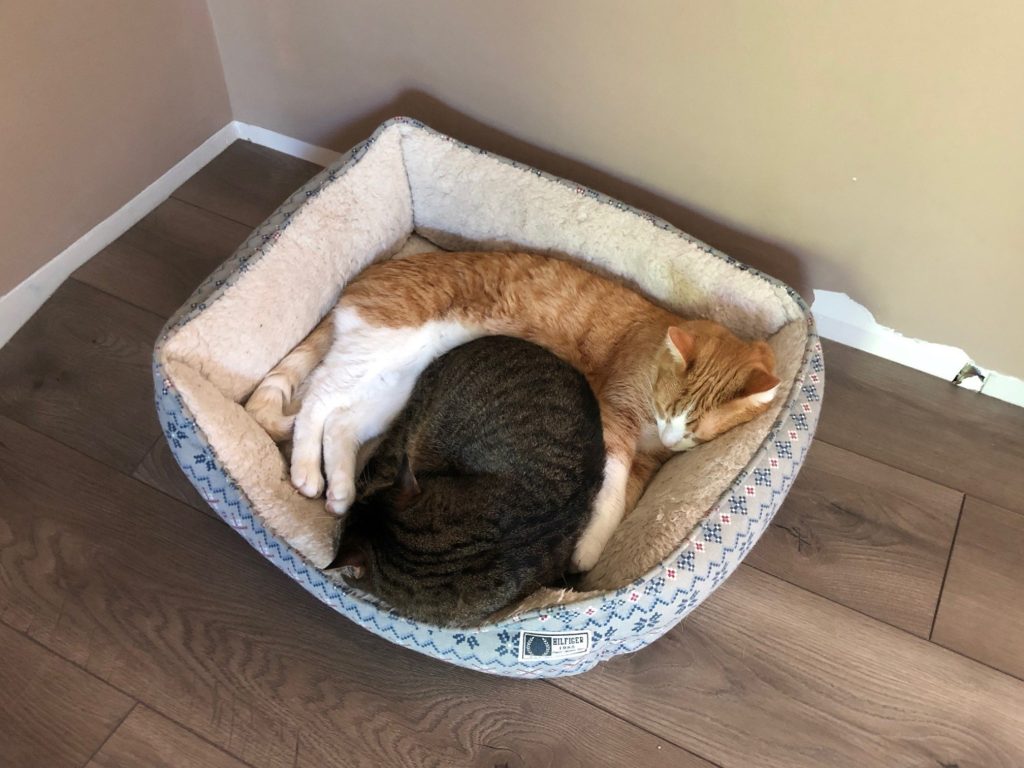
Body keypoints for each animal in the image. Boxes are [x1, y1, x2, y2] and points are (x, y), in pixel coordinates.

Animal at [245, 250, 774, 573]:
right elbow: (611, 492)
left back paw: (339, 490)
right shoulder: (614, 420)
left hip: (394, 383)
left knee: (342, 423)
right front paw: (588, 548)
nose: (668, 436)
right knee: (317, 396)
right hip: (381, 347)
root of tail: (368, 273)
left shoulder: (648, 459)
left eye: (691, 432)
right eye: (666, 408)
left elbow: (628, 496)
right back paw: (307, 472)